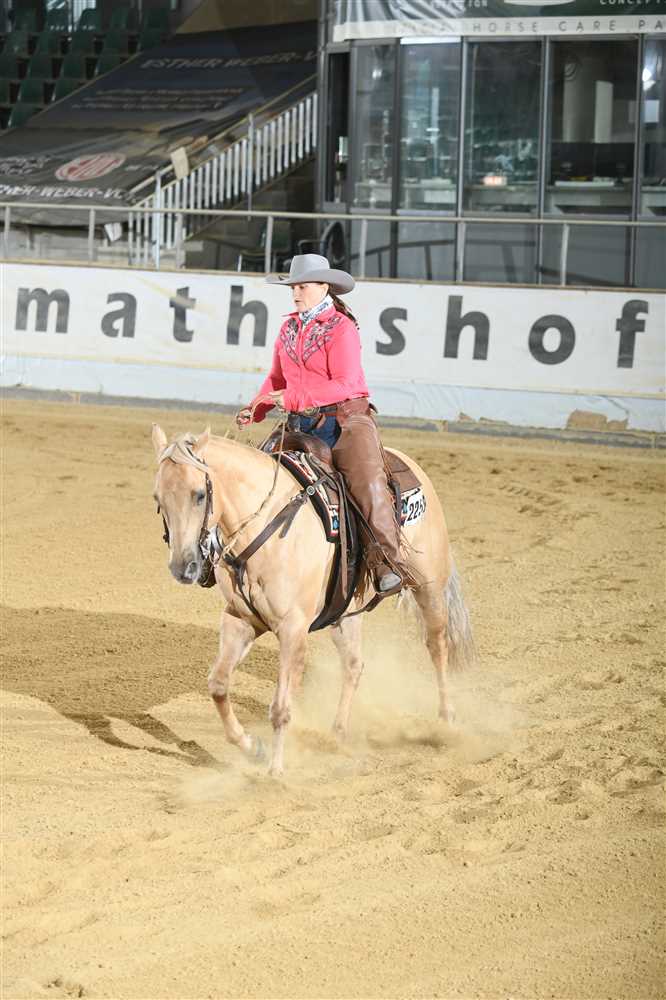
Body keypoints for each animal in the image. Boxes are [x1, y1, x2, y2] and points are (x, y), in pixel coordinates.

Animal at [151, 423, 475, 775]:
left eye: (199, 494)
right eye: (158, 498)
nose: (183, 567)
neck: (267, 527)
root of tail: (411, 465)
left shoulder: (293, 629)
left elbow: (281, 707)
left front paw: (275, 771)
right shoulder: (241, 620)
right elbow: (219, 685)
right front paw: (254, 749)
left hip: (429, 587)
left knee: (437, 646)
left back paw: (446, 720)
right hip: (346, 612)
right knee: (354, 665)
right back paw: (337, 734)